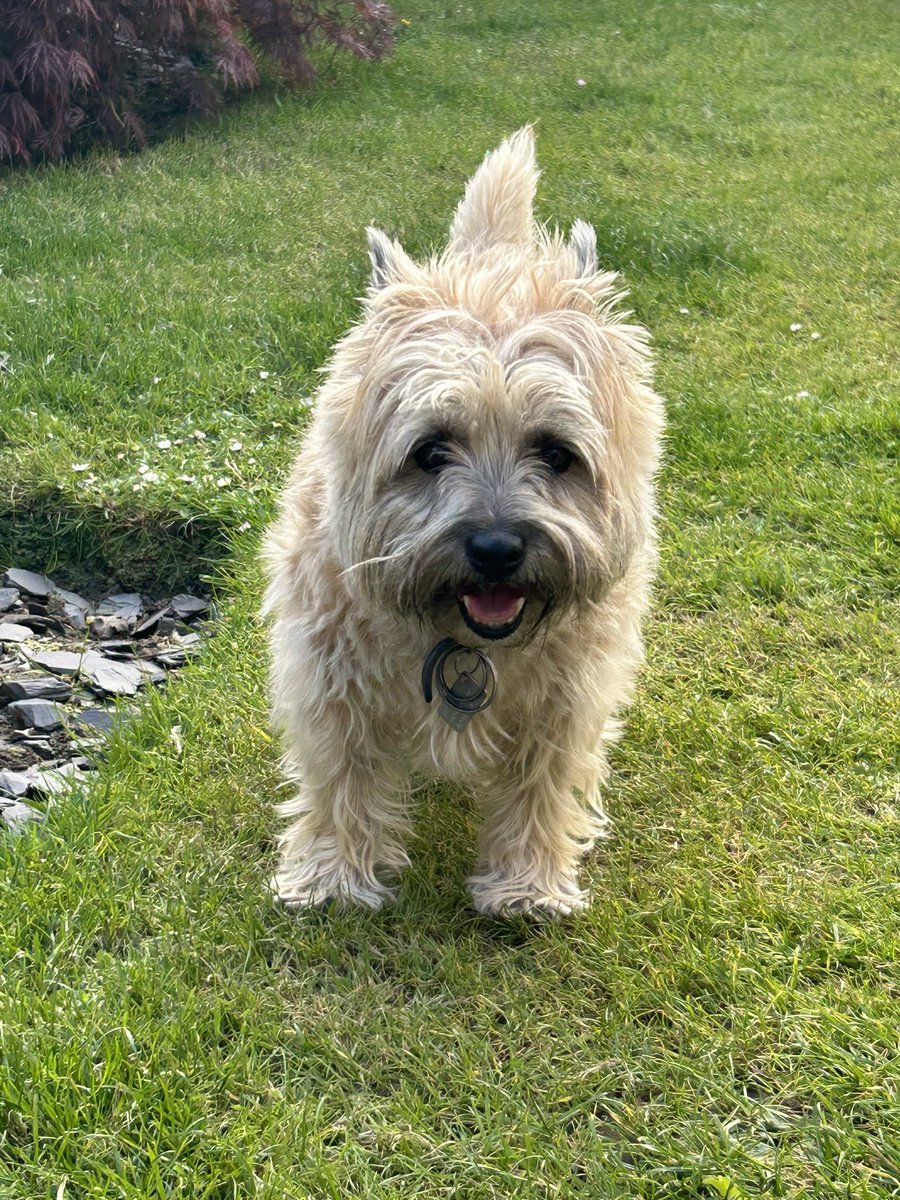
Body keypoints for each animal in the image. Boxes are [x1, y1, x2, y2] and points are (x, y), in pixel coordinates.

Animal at [260, 129, 662, 916]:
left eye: (556, 452)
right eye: (431, 450)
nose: (498, 548)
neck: (462, 640)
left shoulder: (567, 700)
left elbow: (540, 786)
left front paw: (527, 882)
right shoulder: (328, 677)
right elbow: (342, 774)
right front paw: (333, 874)